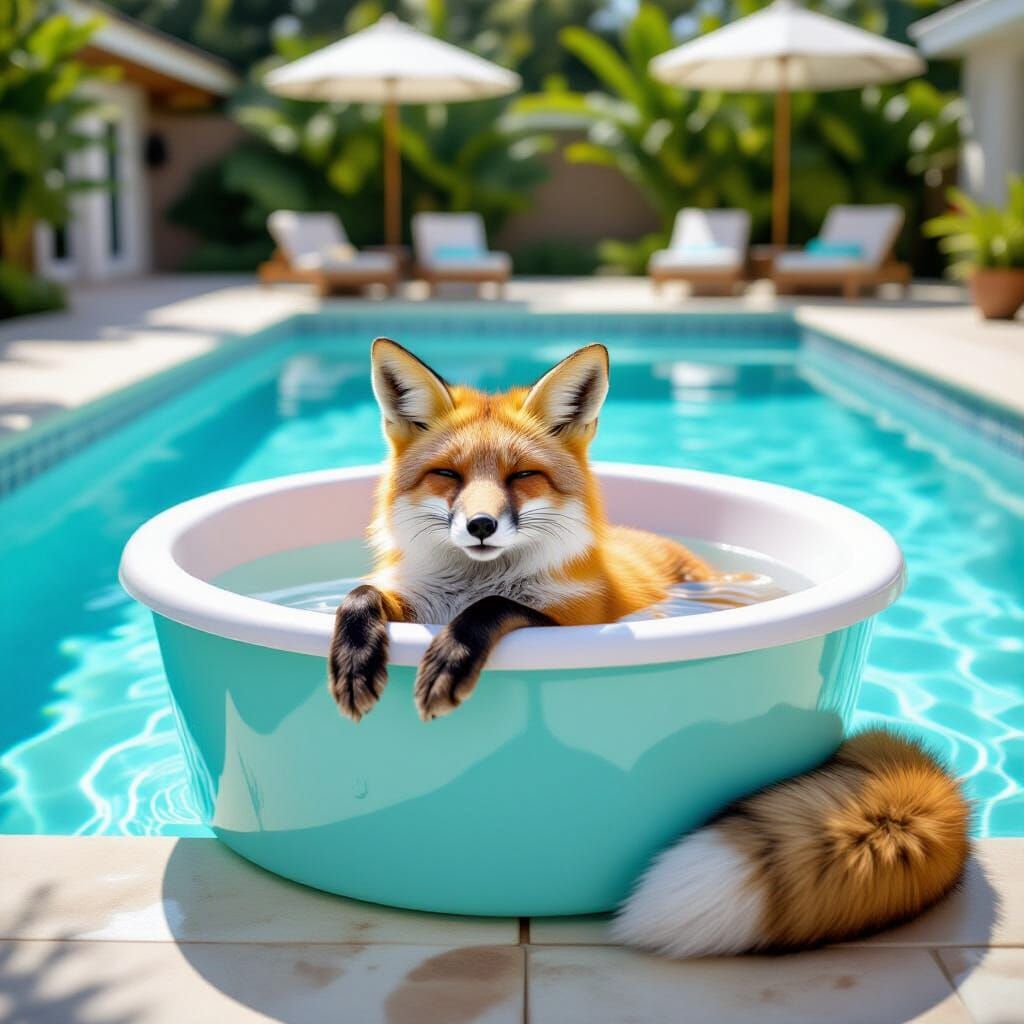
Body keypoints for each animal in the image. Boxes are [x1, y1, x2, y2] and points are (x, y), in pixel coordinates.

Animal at [328, 337, 970, 956]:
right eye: (448, 475)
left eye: (522, 477)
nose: (481, 525)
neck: (473, 580)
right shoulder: (414, 599)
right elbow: (358, 596)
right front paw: (354, 664)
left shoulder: (568, 618)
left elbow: (491, 610)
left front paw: (449, 659)